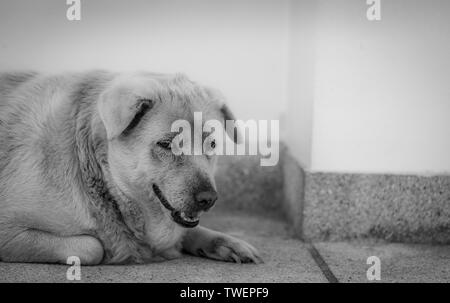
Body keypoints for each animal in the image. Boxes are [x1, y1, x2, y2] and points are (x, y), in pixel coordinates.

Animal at [0, 71, 264, 266]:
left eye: (212, 144)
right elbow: (92, 247)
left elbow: (190, 230)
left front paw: (227, 243)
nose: (209, 199)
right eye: (166, 144)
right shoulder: (8, 230)